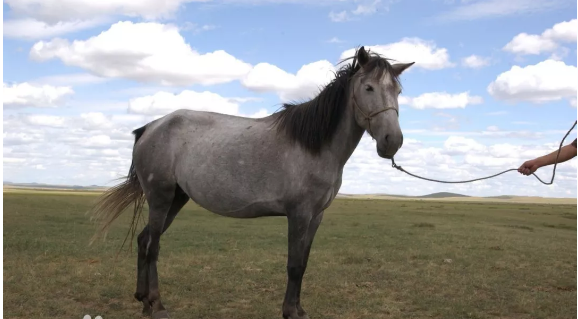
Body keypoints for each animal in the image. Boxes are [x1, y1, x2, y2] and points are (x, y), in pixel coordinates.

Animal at [90, 45, 412, 319]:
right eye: (368, 88)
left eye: (397, 90)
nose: (392, 141)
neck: (314, 145)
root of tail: (150, 127)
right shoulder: (298, 214)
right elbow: (294, 264)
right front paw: (289, 312)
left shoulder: (316, 216)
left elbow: (304, 263)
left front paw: (300, 309)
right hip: (161, 198)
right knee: (153, 246)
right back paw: (156, 305)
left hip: (176, 200)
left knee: (144, 240)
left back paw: (143, 300)